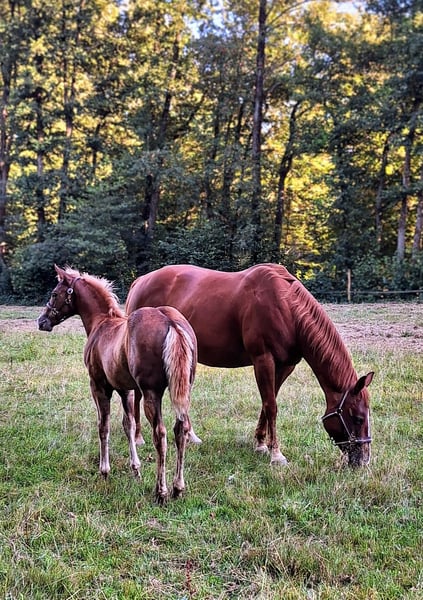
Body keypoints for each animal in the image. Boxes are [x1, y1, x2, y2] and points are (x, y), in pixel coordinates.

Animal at [38, 265, 198, 504]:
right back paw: (178, 488)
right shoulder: (126, 390)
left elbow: (103, 426)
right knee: (181, 430)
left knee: (160, 435)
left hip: (152, 393)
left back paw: (161, 492)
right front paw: (136, 469)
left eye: (54, 293)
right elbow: (128, 425)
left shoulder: (98, 386)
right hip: (183, 390)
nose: (42, 321)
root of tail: (171, 322)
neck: (101, 323)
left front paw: (104, 471)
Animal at [126, 263, 374, 468]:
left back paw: (191, 436)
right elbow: (271, 405)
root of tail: (140, 281)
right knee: (137, 394)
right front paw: (276, 454)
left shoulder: (285, 366)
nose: (364, 460)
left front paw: (261, 443)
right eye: (358, 418)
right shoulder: (263, 360)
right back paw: (138, 437)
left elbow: (268, 402)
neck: (286, 307)